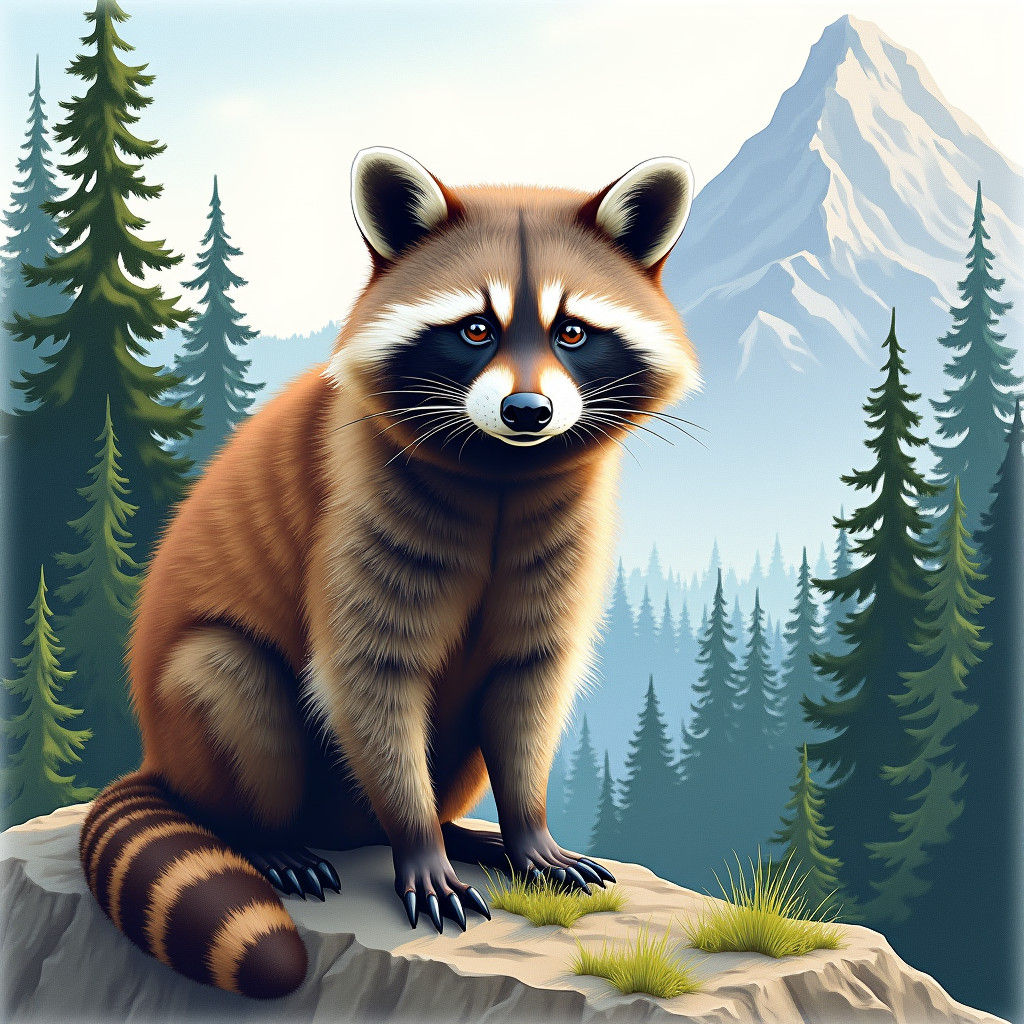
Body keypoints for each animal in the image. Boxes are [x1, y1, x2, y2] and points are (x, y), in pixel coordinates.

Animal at [79, 148, 699, 998]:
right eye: (476, 328)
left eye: (573, 332)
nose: (529, 412)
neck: (504, 466)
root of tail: (155, 759)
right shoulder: (352, 495)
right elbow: (369, 672)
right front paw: (417, 842)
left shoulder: (566, 523)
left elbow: (529, 677)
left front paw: (527, 827)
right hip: (196, 719)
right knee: (228, 678)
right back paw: (270, 834)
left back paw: (462, 828)